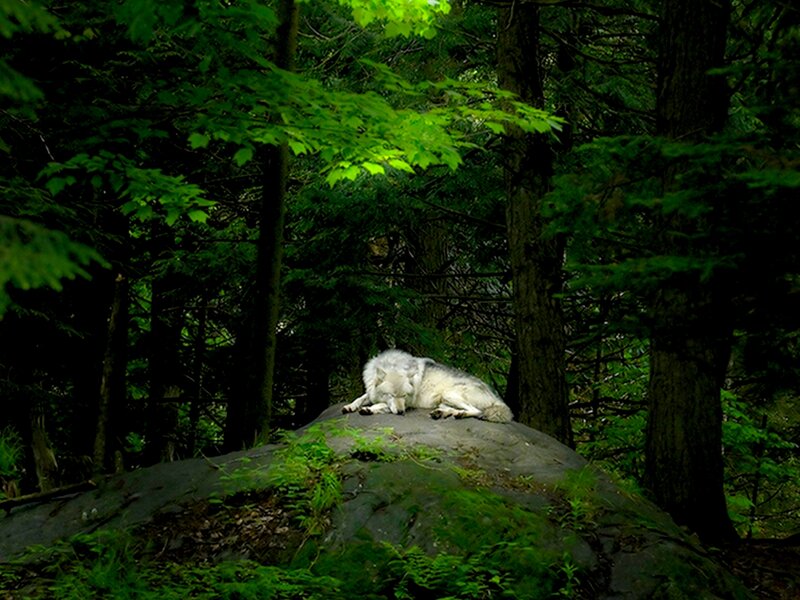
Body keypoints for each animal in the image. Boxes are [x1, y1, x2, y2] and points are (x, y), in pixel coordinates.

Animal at [343, 350, 513, 423]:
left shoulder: (407, 404)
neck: (394, 365)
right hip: (444, 399)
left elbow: (380, 405)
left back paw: (459, 414)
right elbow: (361, 398)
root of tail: (498, 399)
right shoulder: (371, 391)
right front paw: (350, 406)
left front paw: (369, 409)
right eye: (391, 395)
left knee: (477, 411)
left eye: (404, 396)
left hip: (449, 394)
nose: (401, 412)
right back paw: (441, 413)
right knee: (453, 409)